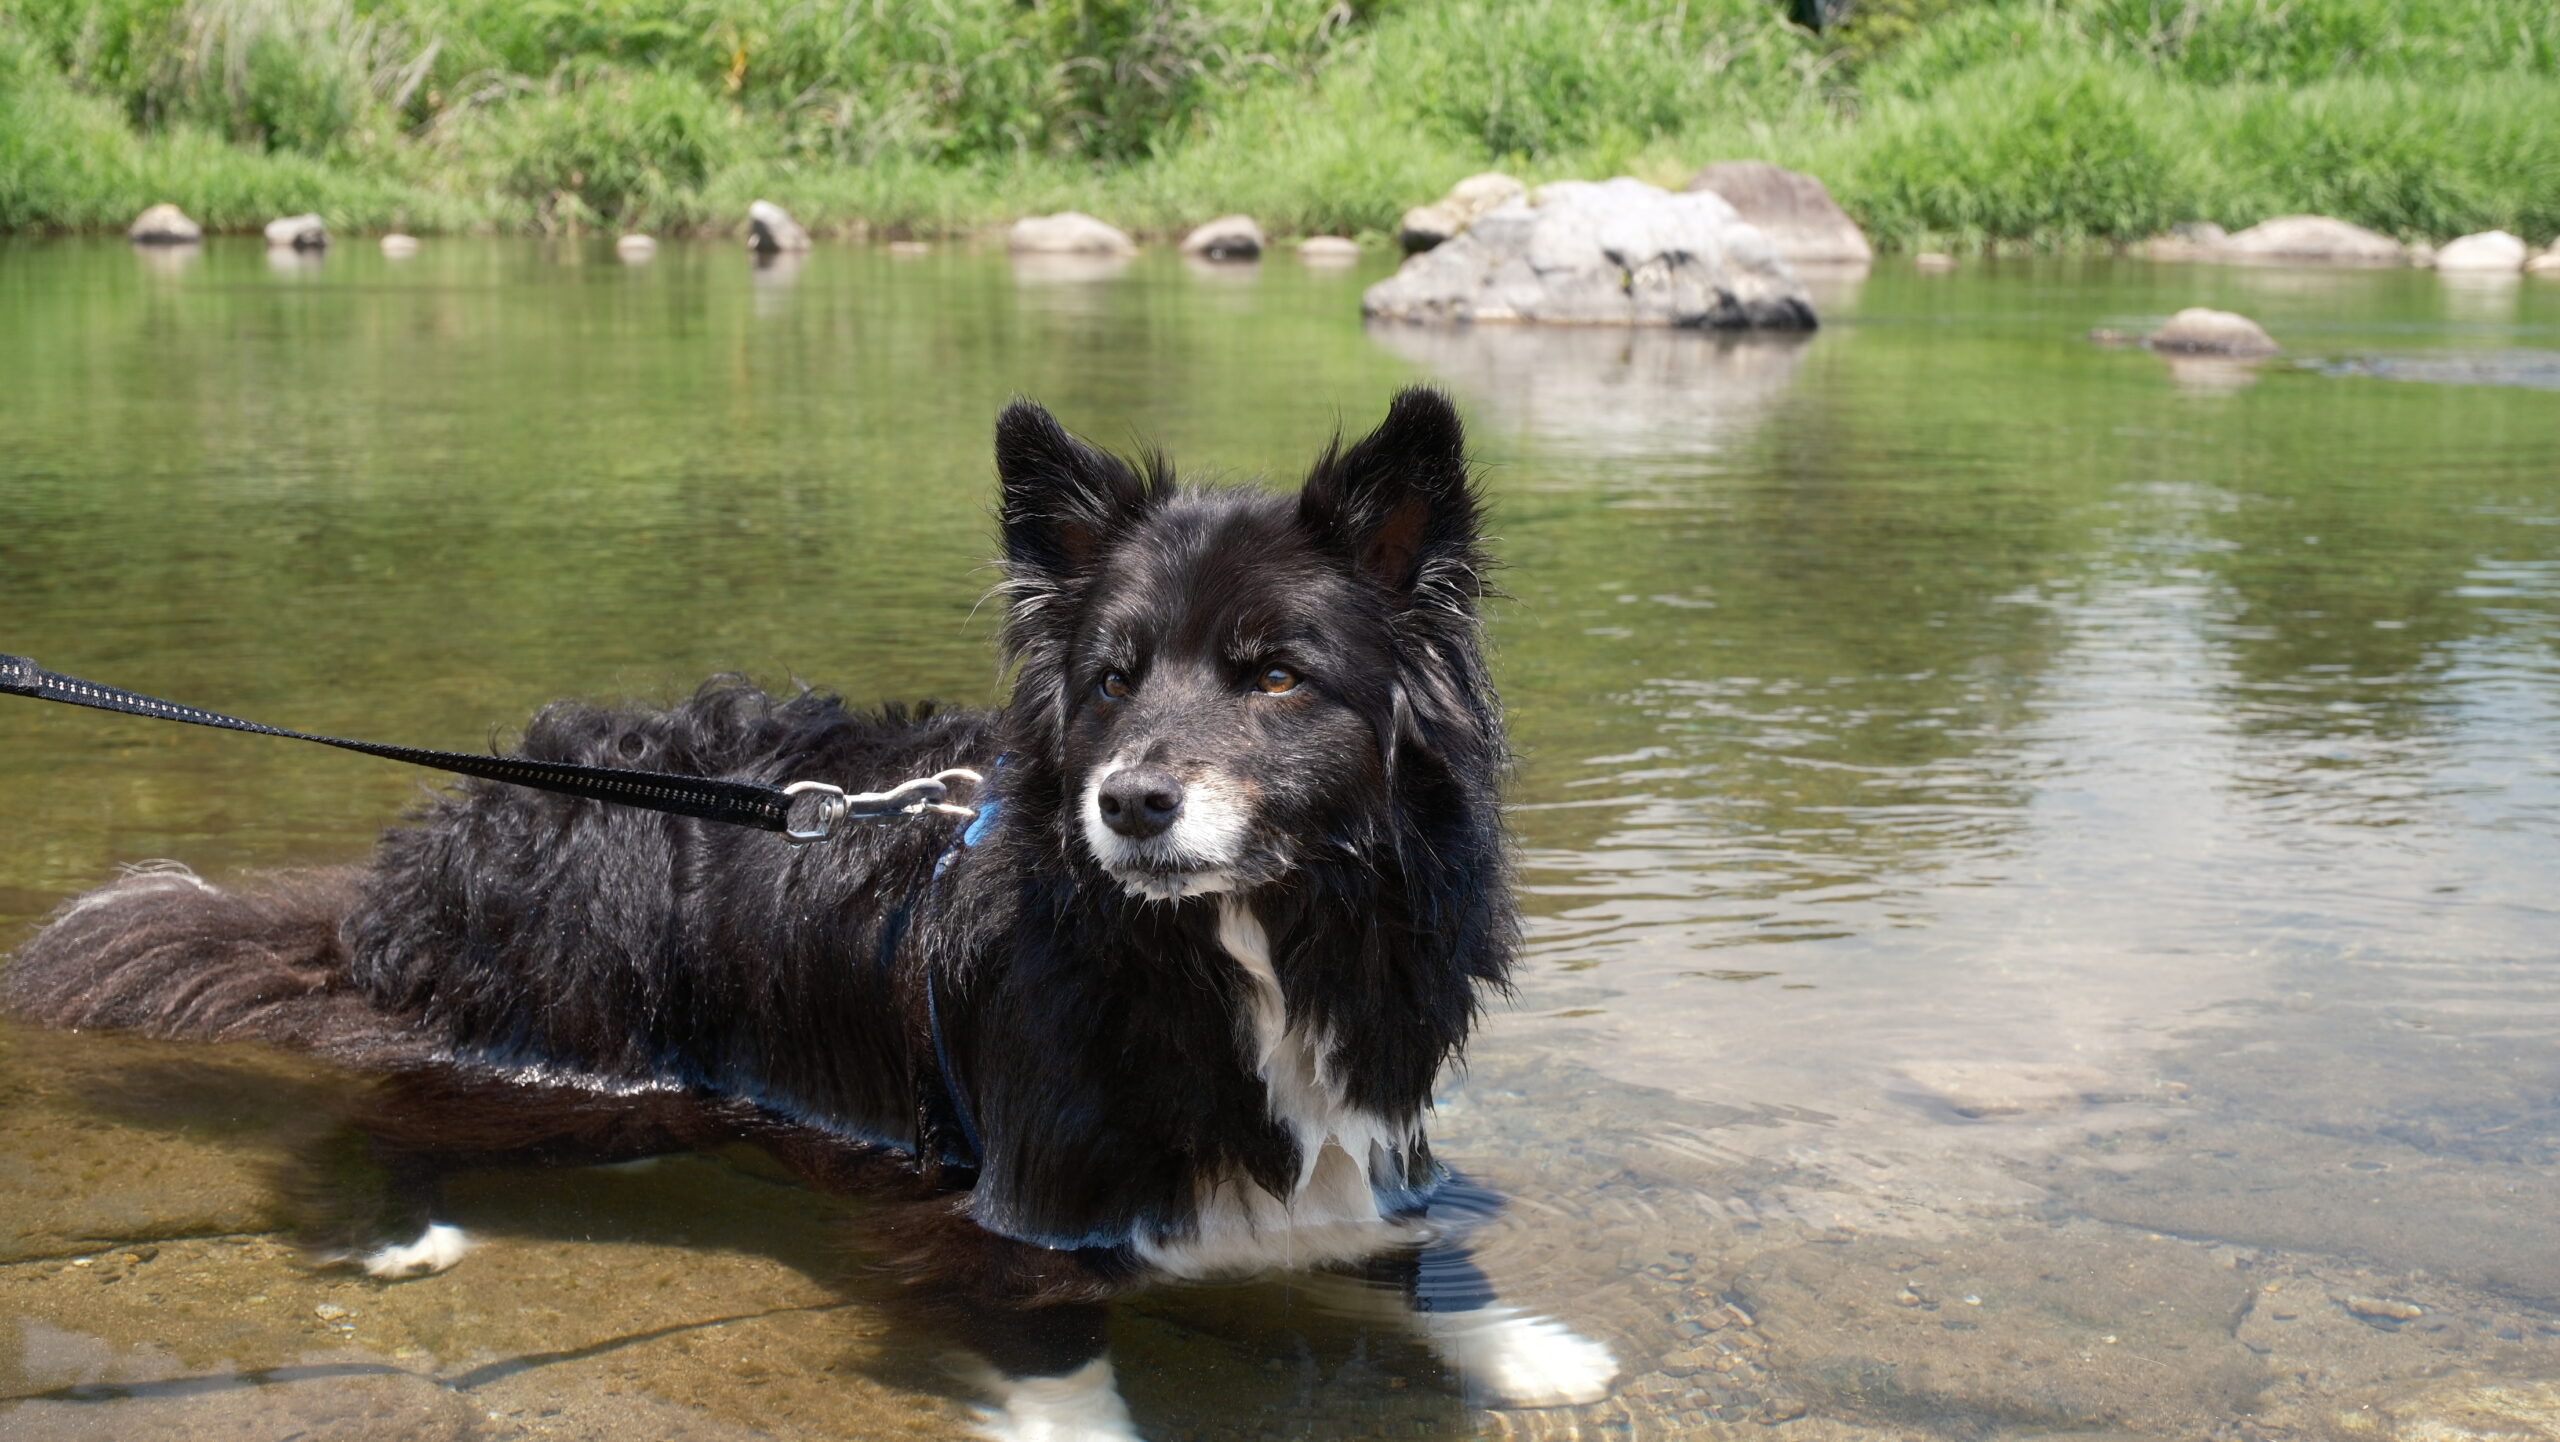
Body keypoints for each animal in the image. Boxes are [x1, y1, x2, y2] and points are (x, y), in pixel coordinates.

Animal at [5, 389, 1617, 1434]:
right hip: (590, 1069)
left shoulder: (1357, 1134)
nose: (1131, 804)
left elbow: (1396, 1269)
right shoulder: (1017, 1217)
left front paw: (1524, 1348)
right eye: (1109, 678)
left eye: (1278, 674)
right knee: (385, 1102)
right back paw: (396, 1231)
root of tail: (435, 846)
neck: (1238, 946)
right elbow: (1066, 1376)